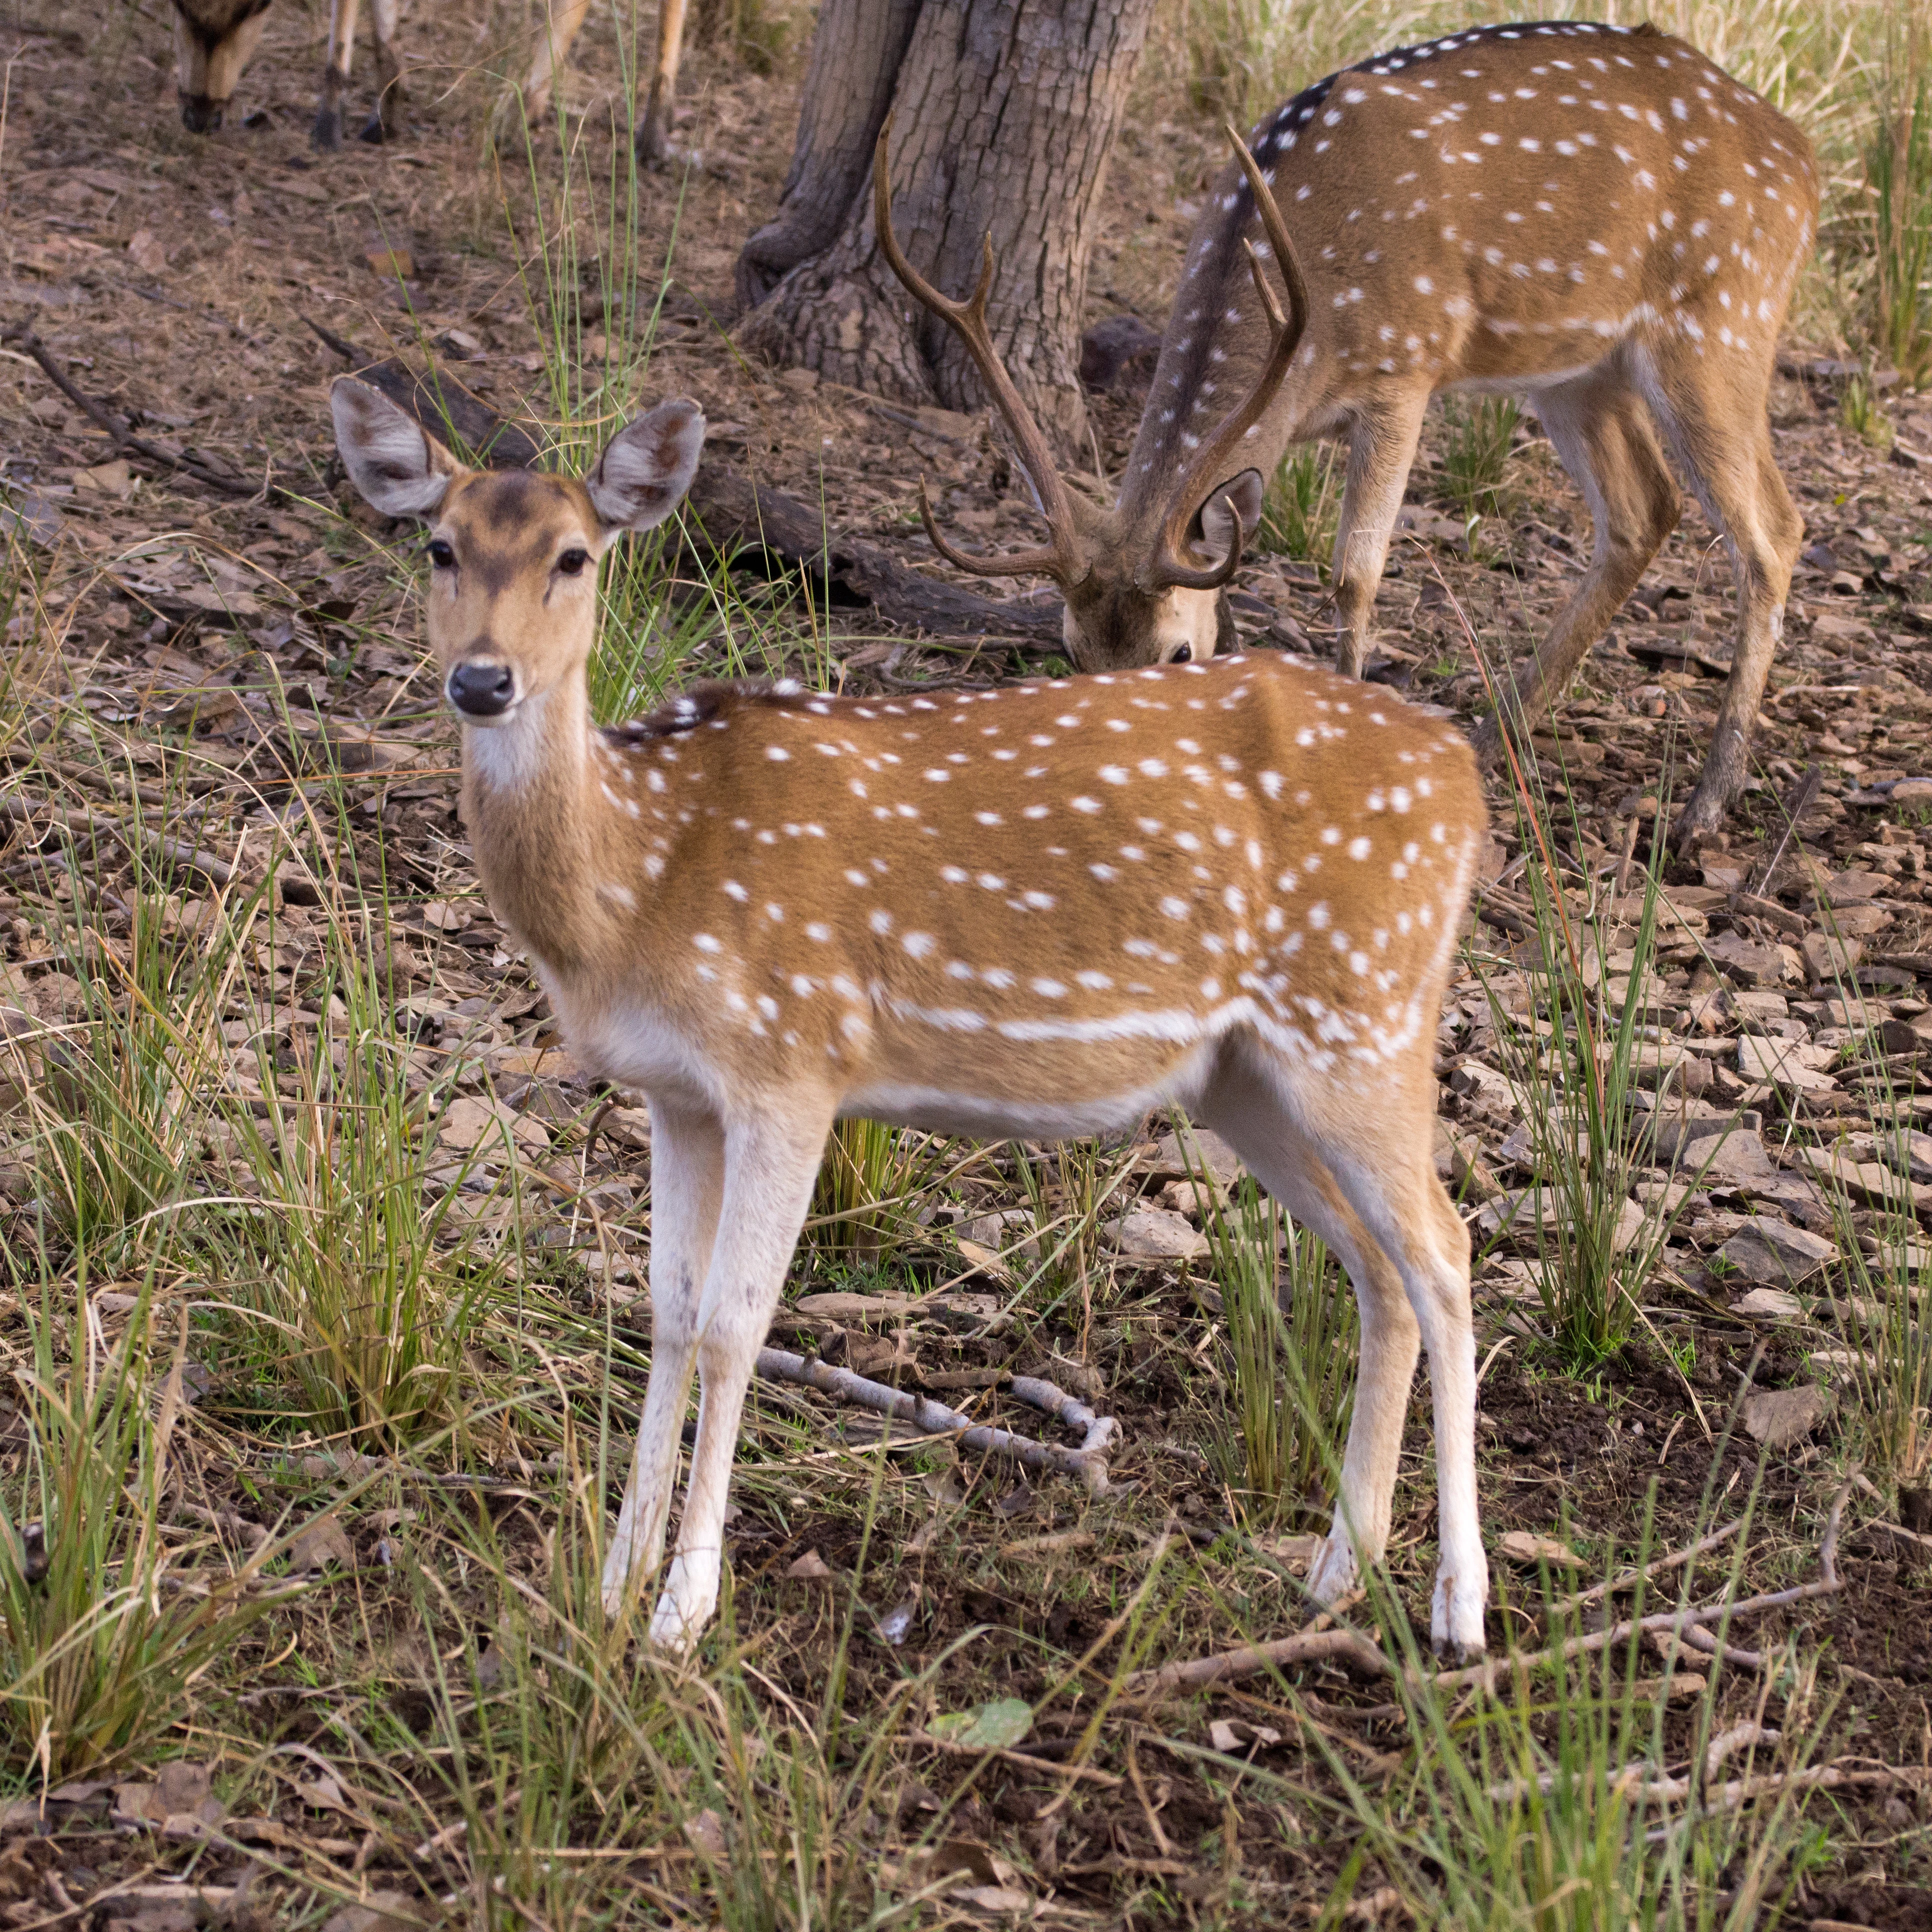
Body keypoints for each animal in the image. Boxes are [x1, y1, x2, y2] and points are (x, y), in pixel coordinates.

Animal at [327, 270, 1493, 1659]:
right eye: (439, 547)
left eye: (575, 555)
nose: (482, 680)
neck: (636, 885)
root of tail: (1467, 778)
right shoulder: (675, 1092)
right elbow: (665, 1314)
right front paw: (609, 1587)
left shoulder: (792, 1063)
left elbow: (734, 1328)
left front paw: (682, 1614)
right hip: (1248, 1077)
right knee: (1379, 1270)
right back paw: (1333, 1573)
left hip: (1365, 1012)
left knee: (1446, 1253)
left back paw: (1460, 1608)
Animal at [873, 19, 1816, 843]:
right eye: (1070, 651)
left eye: (1173, 655)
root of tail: (1805, 161)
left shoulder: (1406, 365)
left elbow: (1352, 574)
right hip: (1575, 366)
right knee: (1642, 510)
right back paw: (1492, 736)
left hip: (1721, 322)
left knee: (1772, 529)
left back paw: (1706, 802)